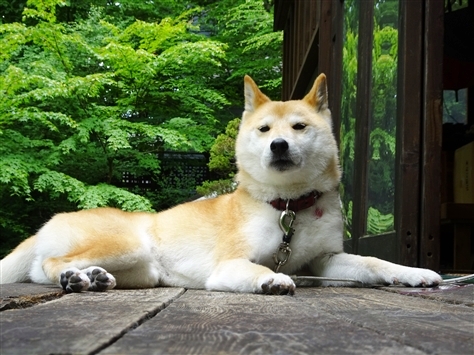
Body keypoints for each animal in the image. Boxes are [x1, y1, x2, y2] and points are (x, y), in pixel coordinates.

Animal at [0, 74, 444, 294]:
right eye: (264, 129)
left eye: (299, 127)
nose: (279, 145)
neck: (288, 206)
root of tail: (51, 221)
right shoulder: (230, 263)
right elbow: (253, 268)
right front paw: (270, 278)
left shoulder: (325, 259)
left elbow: (371, 264)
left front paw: (411, 272)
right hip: (126, 246)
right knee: (47, 265)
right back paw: (74, 278)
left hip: (142, 271)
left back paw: (92, 278)